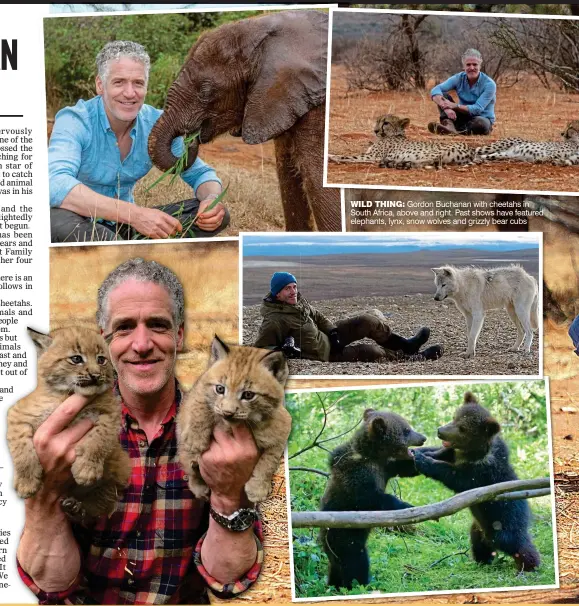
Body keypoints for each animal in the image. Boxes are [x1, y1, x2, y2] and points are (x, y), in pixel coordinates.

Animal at [7, 328, 130, 524]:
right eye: (76, 359)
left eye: (101, 360)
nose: (96, 375)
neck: (66, 394)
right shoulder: (18, 415)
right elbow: (22, 451)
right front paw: (27, 483)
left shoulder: (111, 414)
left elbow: (98, 440)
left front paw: (86, 469)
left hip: (117, 473)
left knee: (100, 503)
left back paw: (78, 508)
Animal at [177, 338, 292, 504]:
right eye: (220, 389)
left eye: (248, 395)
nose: (228, 413)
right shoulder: (200, 387)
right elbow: (201, 404)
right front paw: (195, 439)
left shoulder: (283, 427)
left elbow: (269, 461)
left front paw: (257, 488)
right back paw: (197, 482)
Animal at [328, 114, 478, 170]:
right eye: (377, 121)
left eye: (386, 123)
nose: (375, 131)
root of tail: (469, 149)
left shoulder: (372, 156)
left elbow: (350, 157)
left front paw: (333, 157)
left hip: (433, 152)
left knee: (429, 162)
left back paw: (399, 164)